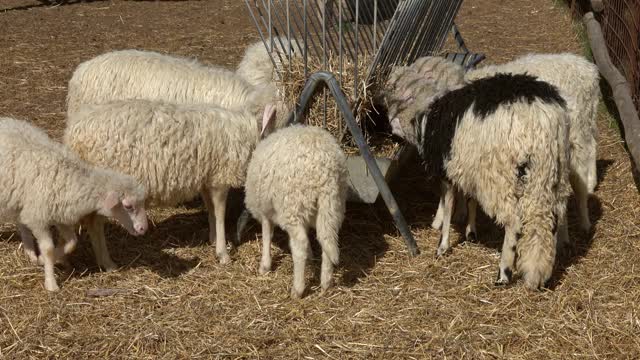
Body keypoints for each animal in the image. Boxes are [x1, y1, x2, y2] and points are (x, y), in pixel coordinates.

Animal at [0, 116, 148, 292]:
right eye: (128, 206)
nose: (144, 228)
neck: (70, 180)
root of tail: (5, 120)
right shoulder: (38, 218)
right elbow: (49, 249)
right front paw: (51, 283)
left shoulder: (59, 216)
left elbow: (72, 242)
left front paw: (48, 259)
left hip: (19, 198)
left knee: (21, 223)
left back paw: (31, 253)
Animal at [63, 98, 278, 268]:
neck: (245, 133)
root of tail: (72, 134)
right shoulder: (219, 178)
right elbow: (219, 213)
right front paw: (223, 254)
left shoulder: (206, 178)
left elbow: (210, 210)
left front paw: (213, 240)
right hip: (107, 188)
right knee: (95, 225)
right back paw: (108, 263)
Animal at [242, 124, 348, 298]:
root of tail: (324, 170)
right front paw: (311, 256)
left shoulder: (265, 210)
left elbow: (266, 235)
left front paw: (265, 265)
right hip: (333, 205)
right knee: (327, 240)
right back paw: (326, 283)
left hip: (292, 205)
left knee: (300, 244)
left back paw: (297, 289)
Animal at [388, 73, 572, 290]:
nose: (392, 136)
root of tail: (539, 117)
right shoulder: (470, 170)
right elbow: (470, 200)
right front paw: (471, 233)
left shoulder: (448, 170)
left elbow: (449, 206)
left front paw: (442, 246)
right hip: (552, 172)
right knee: (551, 218)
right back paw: (541, 269)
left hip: (501, 178)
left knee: (513, 223)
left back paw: (503, 274)